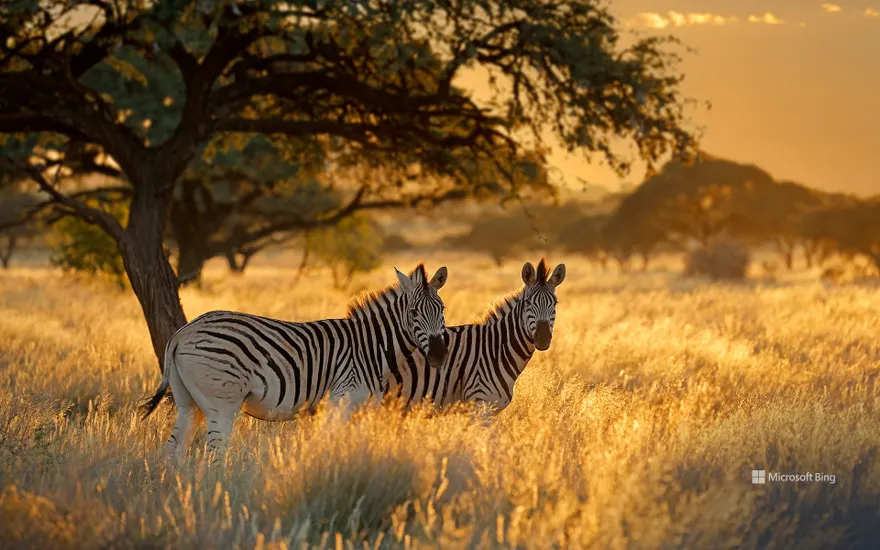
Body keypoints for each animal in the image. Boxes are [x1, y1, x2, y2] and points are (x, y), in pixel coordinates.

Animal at [144, 266, 450, 464]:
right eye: (413, 313)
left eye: (443, 309)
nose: (438, 354)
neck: (370, 347)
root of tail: (183, 332)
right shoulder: (340, 401)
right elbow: (329, 446)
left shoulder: (360, 409)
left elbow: (353, 447)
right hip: (222, 402)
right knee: (214, 453)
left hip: (189, 402)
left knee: (173, 450)